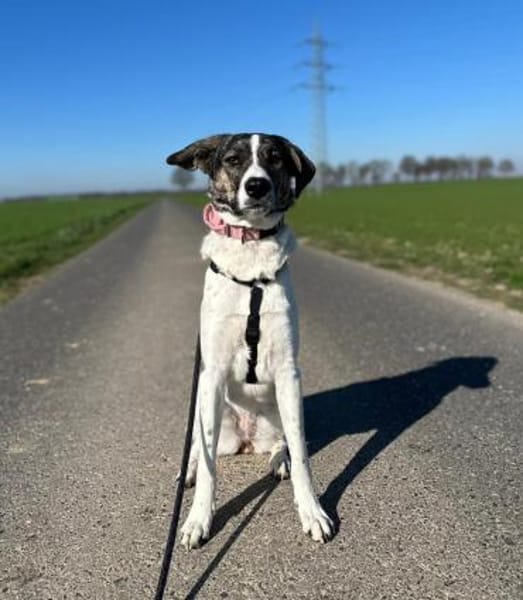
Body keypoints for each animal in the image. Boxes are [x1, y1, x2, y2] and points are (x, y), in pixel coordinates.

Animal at [166, 133, 334, 549]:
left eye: (275, 158)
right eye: (232, 159)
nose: (256, 186)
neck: (250, 254)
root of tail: (245, 438)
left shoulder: (289, 374)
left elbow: (303, 454)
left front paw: (312, 511)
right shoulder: (210, 374)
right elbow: (209, 469)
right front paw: (198, 520)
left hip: (277, 414)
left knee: (283, 443)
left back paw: (278, 460)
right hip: (205, 407)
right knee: (200, 447)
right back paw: (188, 471)